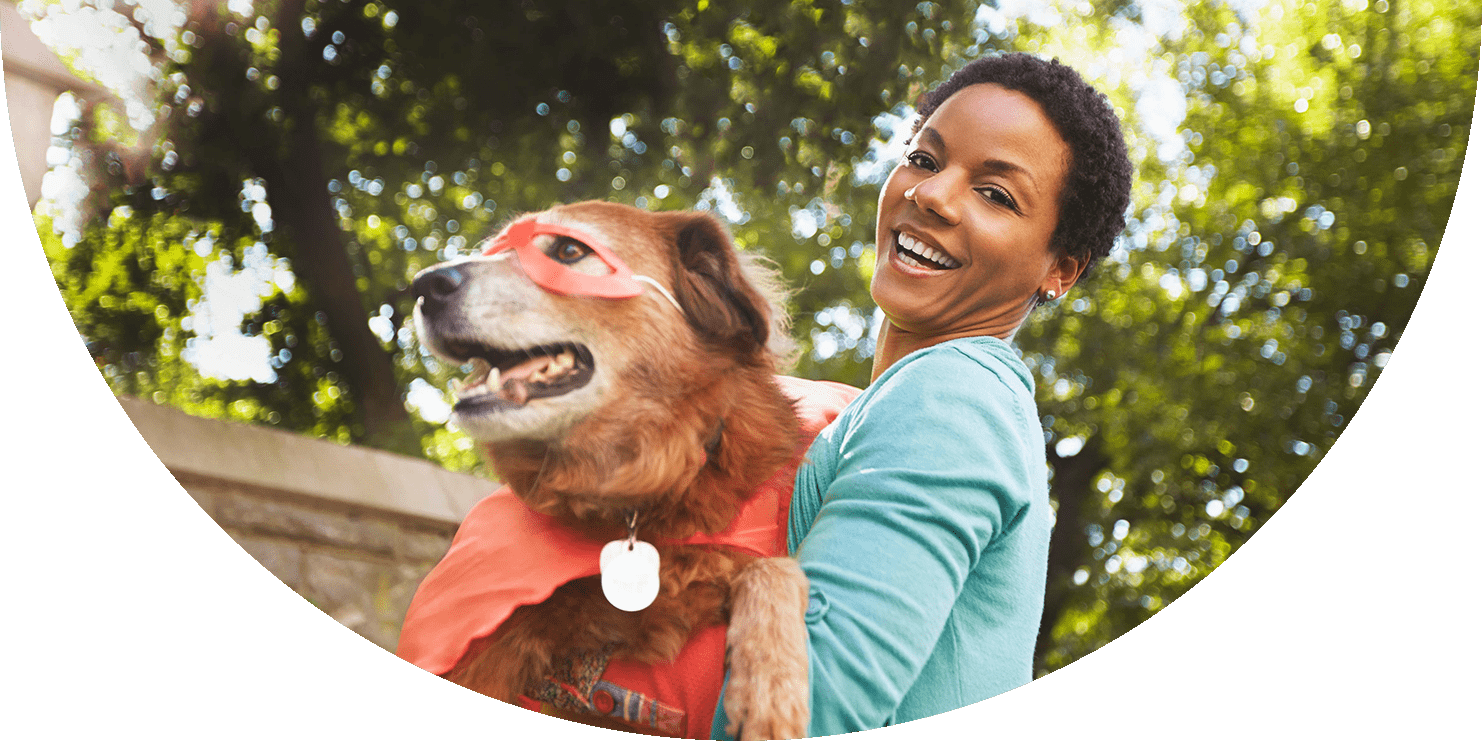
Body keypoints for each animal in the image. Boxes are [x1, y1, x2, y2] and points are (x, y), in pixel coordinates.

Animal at [397, 200, 859, 738]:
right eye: (496, 250)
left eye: (569, 250)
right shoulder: (488, 640)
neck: (642, 492)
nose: (424, 285)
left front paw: (770, 685)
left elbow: (774, 566)